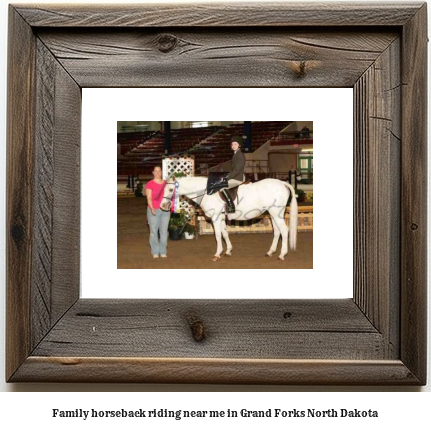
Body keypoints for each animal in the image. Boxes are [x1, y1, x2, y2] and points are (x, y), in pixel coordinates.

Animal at [160, 176, 298, 264]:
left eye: (171, 190)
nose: (163, 206)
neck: (207, 192)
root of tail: (282, 183)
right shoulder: (220, 218)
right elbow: (225, 234)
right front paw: (228, 251)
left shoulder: (215, 218)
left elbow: (217, 236)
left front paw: (217, 254)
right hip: (273, 213)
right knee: (277, 232)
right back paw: (270, 252)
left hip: (276, 213)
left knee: (284, 231)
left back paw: (281, 255)